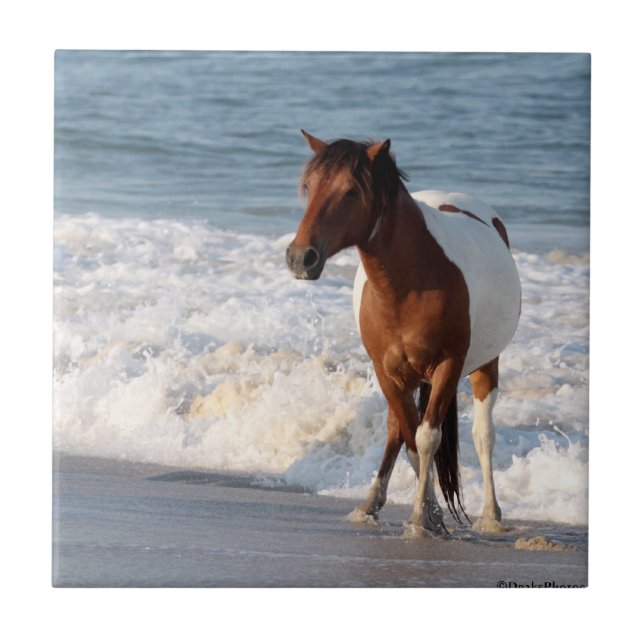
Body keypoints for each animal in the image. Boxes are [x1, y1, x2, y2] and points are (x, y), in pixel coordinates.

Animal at [286, 131, 521, 536]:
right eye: (310, 186)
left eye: (351, 191)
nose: (301, 257)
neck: (409, 286)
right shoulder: (386, 371)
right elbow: (410, 440)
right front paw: (430, 514)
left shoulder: (448, 366)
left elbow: (427, 438)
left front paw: (418, 519)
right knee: (397, 429)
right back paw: (369, 504)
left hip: (486, 363)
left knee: (483, 435)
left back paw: (491, 515)